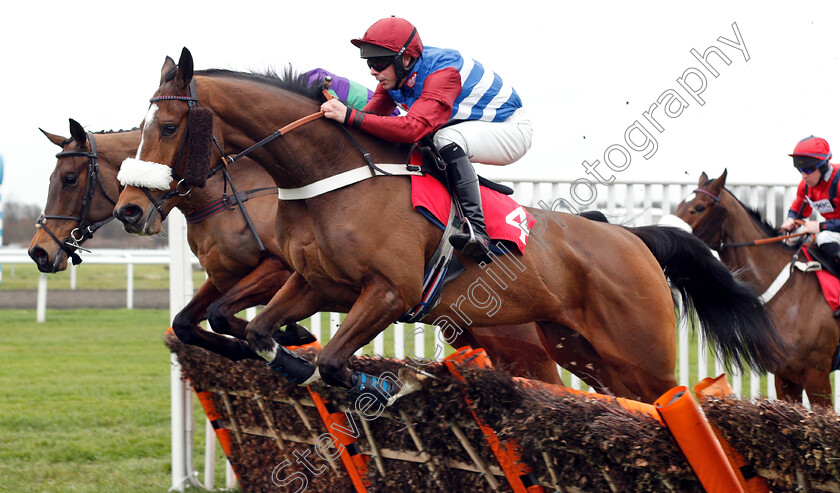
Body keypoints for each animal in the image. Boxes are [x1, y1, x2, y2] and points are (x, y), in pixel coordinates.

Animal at [115, 48, 792, 404]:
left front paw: (400, 383)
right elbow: (256, 332)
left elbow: (331, 361)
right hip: (580, 347)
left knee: (672, 402)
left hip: (642, 351)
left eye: (167, 128)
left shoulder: (389, 294)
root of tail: (632, 238)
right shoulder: (315, 284)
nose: (129, 208)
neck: (332, 180)